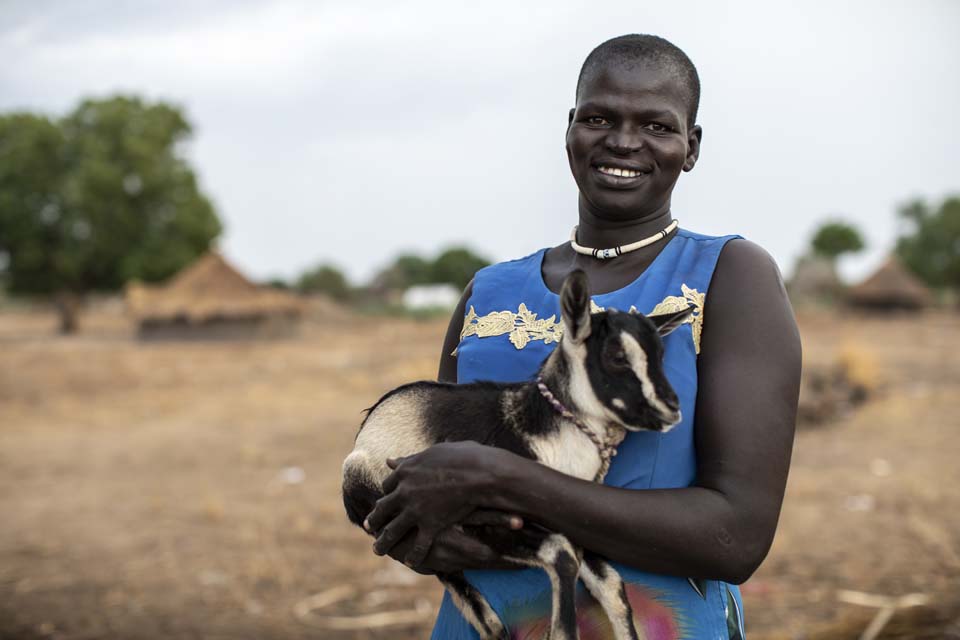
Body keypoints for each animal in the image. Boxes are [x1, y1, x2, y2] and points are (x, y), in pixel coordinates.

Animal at [342, 272, 692, 640]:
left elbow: (609, 583)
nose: (671, 409)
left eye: (660, 355)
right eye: (617, 357)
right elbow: (563, 556)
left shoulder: (575, 523)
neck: (543, 429)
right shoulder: (486, 523)